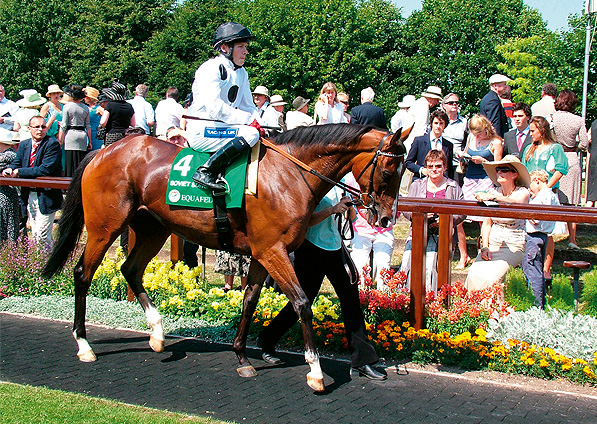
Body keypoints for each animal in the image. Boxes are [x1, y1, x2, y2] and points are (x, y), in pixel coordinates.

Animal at [42, 124, 406, 392]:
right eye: (389, 171)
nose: (386, 217)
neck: (288, 173)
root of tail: (103, 151)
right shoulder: (273, 251)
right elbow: (302, 302)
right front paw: (315, 372)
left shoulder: (262, 254)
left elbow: (249, 300)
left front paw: (243, 357)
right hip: (104, 227)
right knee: (82, 274)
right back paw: (84, 344)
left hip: (153, 228)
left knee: (130, 269)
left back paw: (157, 334)